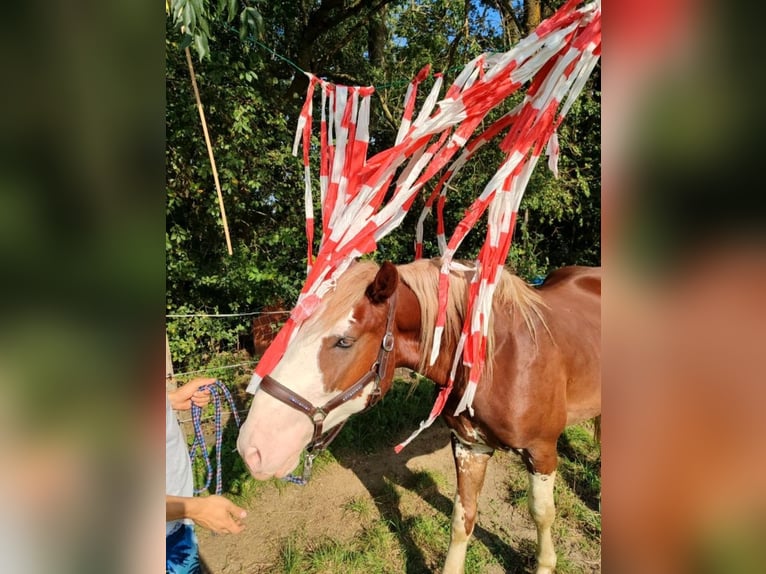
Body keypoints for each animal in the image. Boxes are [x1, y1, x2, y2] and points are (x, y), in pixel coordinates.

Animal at [237, 258, 604, 572]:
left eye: (344, 341)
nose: (252, 447)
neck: (495, 358)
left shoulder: (540, 451)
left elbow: (542, 513)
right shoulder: (470, 447)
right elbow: (462, 518)